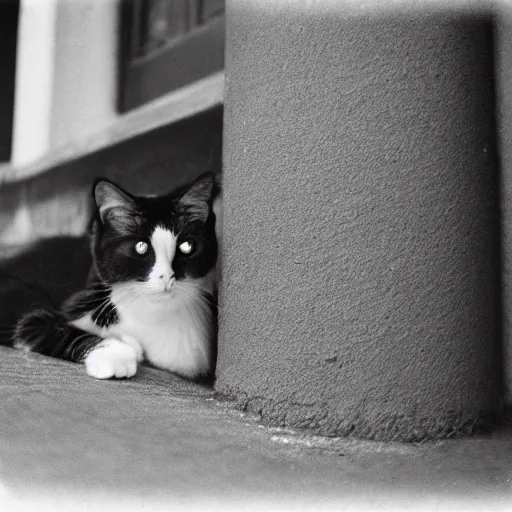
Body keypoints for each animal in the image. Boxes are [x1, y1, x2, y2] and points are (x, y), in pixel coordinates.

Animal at [11, 172, 220, 380]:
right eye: (141, 247)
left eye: (187, 246)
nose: (167, 277)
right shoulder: (41, 319)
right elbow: (57, 330)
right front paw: (115, 353)